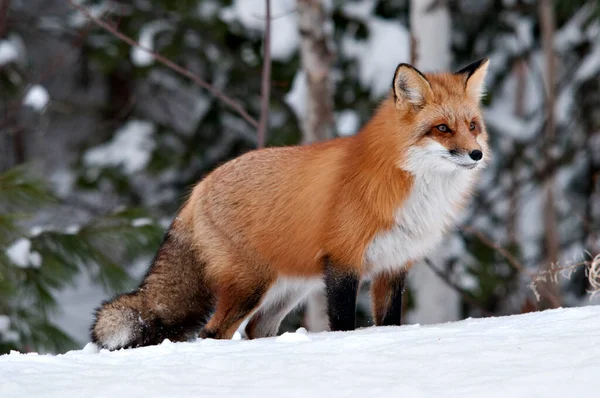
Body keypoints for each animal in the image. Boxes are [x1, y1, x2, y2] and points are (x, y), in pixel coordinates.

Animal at [91, 57, 490, 350]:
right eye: (442, 128)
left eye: (472, 126)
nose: (477, 154)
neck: (407, 183)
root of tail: (198, 188)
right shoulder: (343, 261)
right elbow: (343, 325)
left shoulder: (393, 265)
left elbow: (389, 322)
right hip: (251, 286)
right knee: (212, 333)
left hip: (286, 289)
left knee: (255, 330)